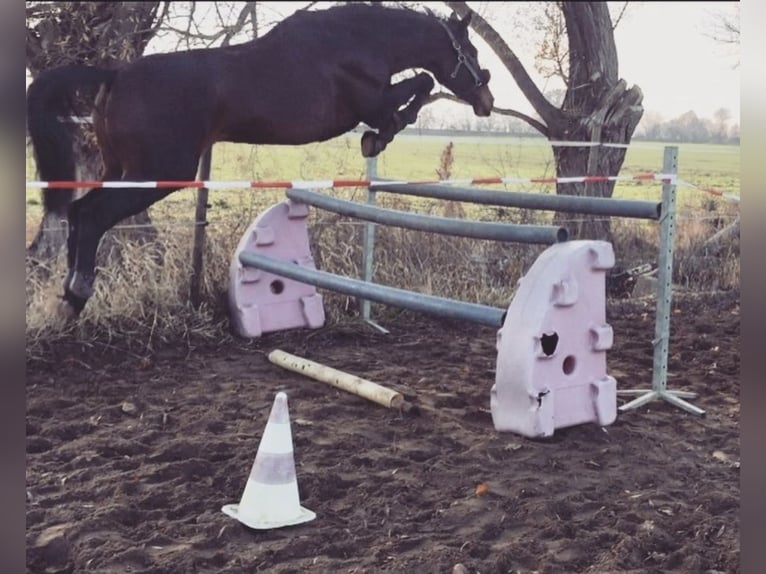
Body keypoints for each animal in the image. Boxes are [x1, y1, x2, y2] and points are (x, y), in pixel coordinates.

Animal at [27, 2, 496, 318]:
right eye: (471, 53)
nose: (487, 101)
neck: (359, 40)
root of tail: (114, 75)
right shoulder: (371, 101)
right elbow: (421, 84)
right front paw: (377, 138)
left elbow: (421, 82)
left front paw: (376, 139)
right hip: (157, 174)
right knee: (91, 215)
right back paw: (78, 293)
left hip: (121, 170)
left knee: (79, 211)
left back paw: (67, 296)